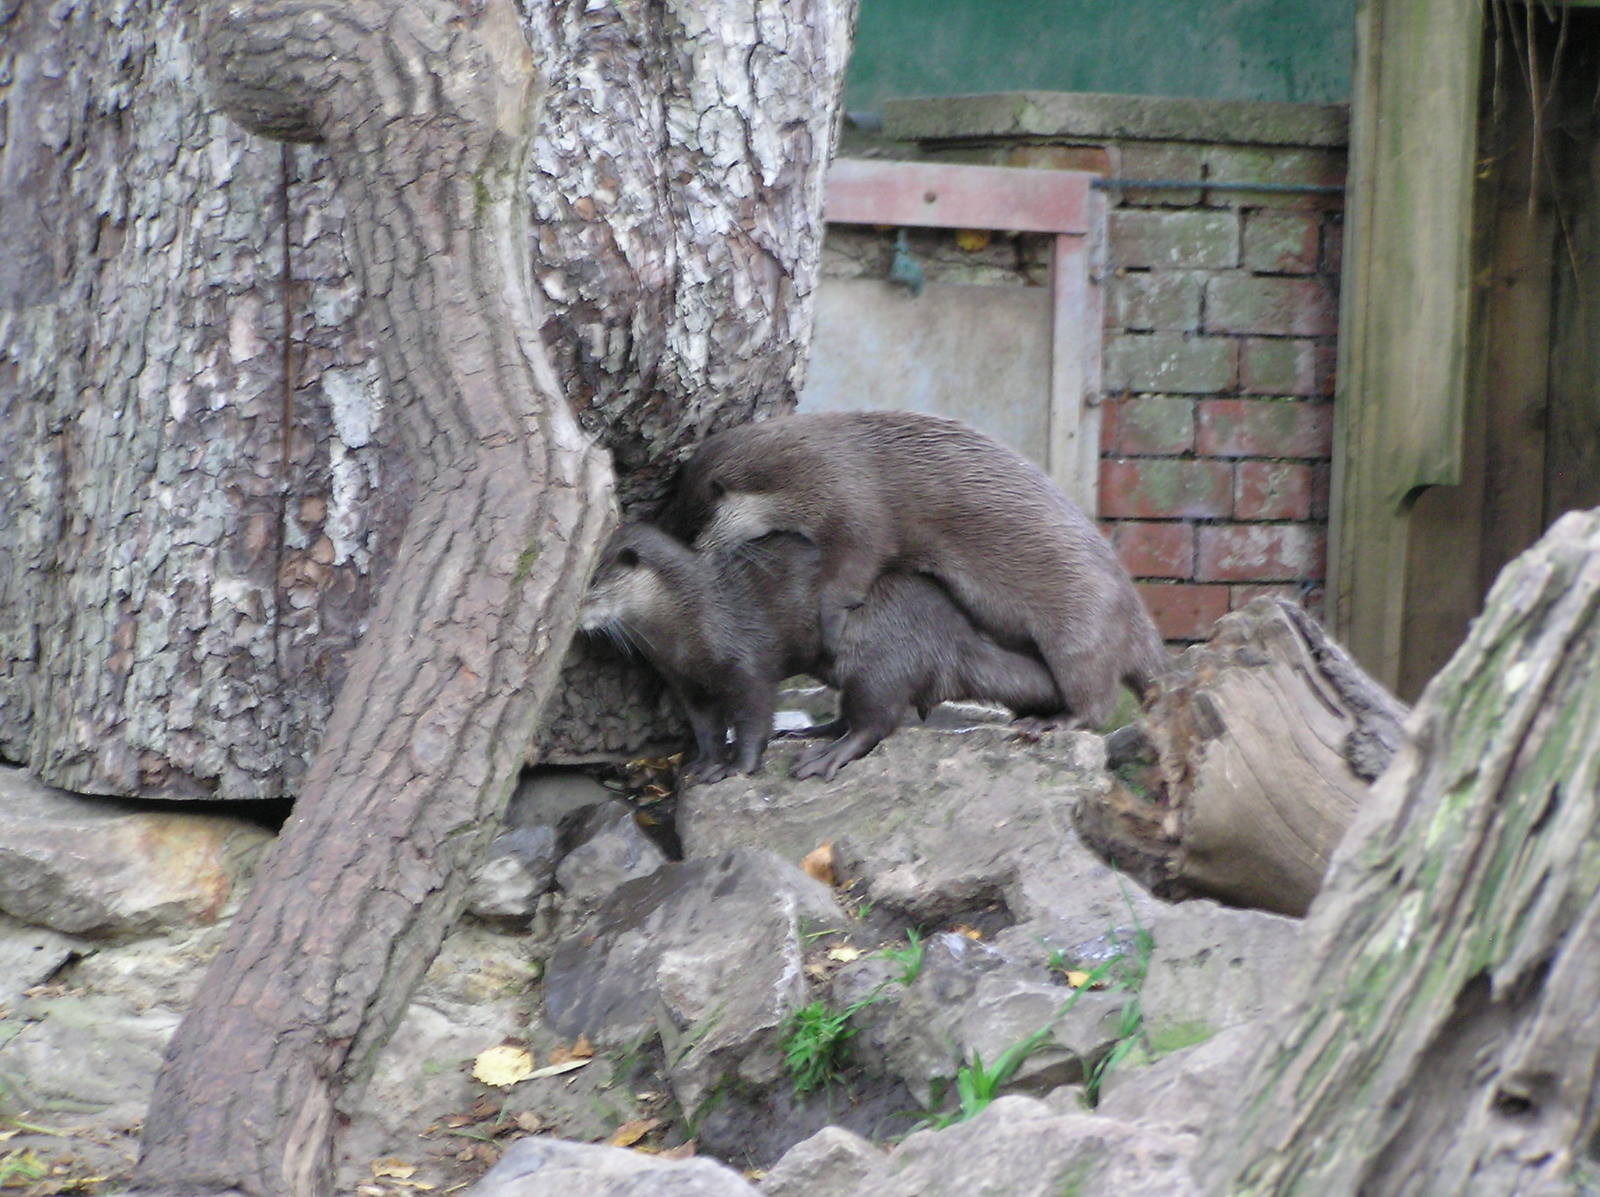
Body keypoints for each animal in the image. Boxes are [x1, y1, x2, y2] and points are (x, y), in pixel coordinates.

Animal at [578, 522, 1062, 782]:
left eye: (592, 580)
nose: (575, 612)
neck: (691, 617)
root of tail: (955, 634)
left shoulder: (747, 662)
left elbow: (753, 716)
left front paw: (738, 766)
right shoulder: (685, 680)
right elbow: (705, 728)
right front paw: (705, 765)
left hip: (878, 658)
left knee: (877, 721)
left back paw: (827, 755)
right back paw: (810, 733)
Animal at [660, 411, 1167, 730]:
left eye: (694, 528)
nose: (691, 554)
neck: (814, 470)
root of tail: (1138, 614)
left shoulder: (856, 510)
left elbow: (852, 571)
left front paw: (829, 620)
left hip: (1082, 624)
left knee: (1095, 696)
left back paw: (1060, 721)